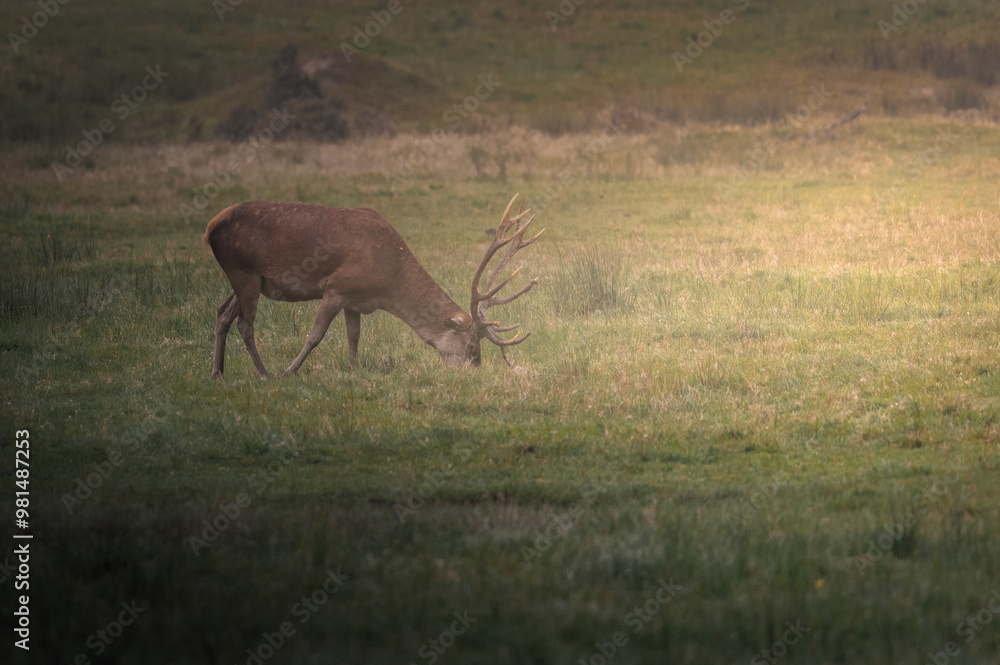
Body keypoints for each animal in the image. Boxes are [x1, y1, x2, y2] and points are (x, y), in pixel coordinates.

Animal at [203, 194, 543, 379]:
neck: (387, 281)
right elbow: (315, 335)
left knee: (222, 313)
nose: (475, 370)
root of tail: (209, 228)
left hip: (250, 278)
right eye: (471, 345)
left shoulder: (354, 301)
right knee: (245, 324)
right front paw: (290, 371)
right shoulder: (337, 287)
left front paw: (353, 369)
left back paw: (217, 372)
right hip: (243, 271)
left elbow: (354, 337)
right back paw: (263, 373)